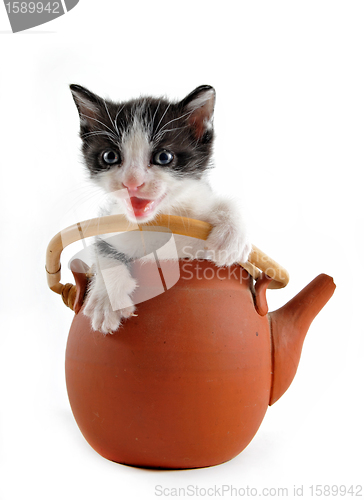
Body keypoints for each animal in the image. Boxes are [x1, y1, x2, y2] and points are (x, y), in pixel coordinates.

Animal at [69, 84, 252, 334]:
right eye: (110, 156)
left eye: (164, 157)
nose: (132, 182)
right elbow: (103, 248)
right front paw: (107, 300)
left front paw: (232, 236)